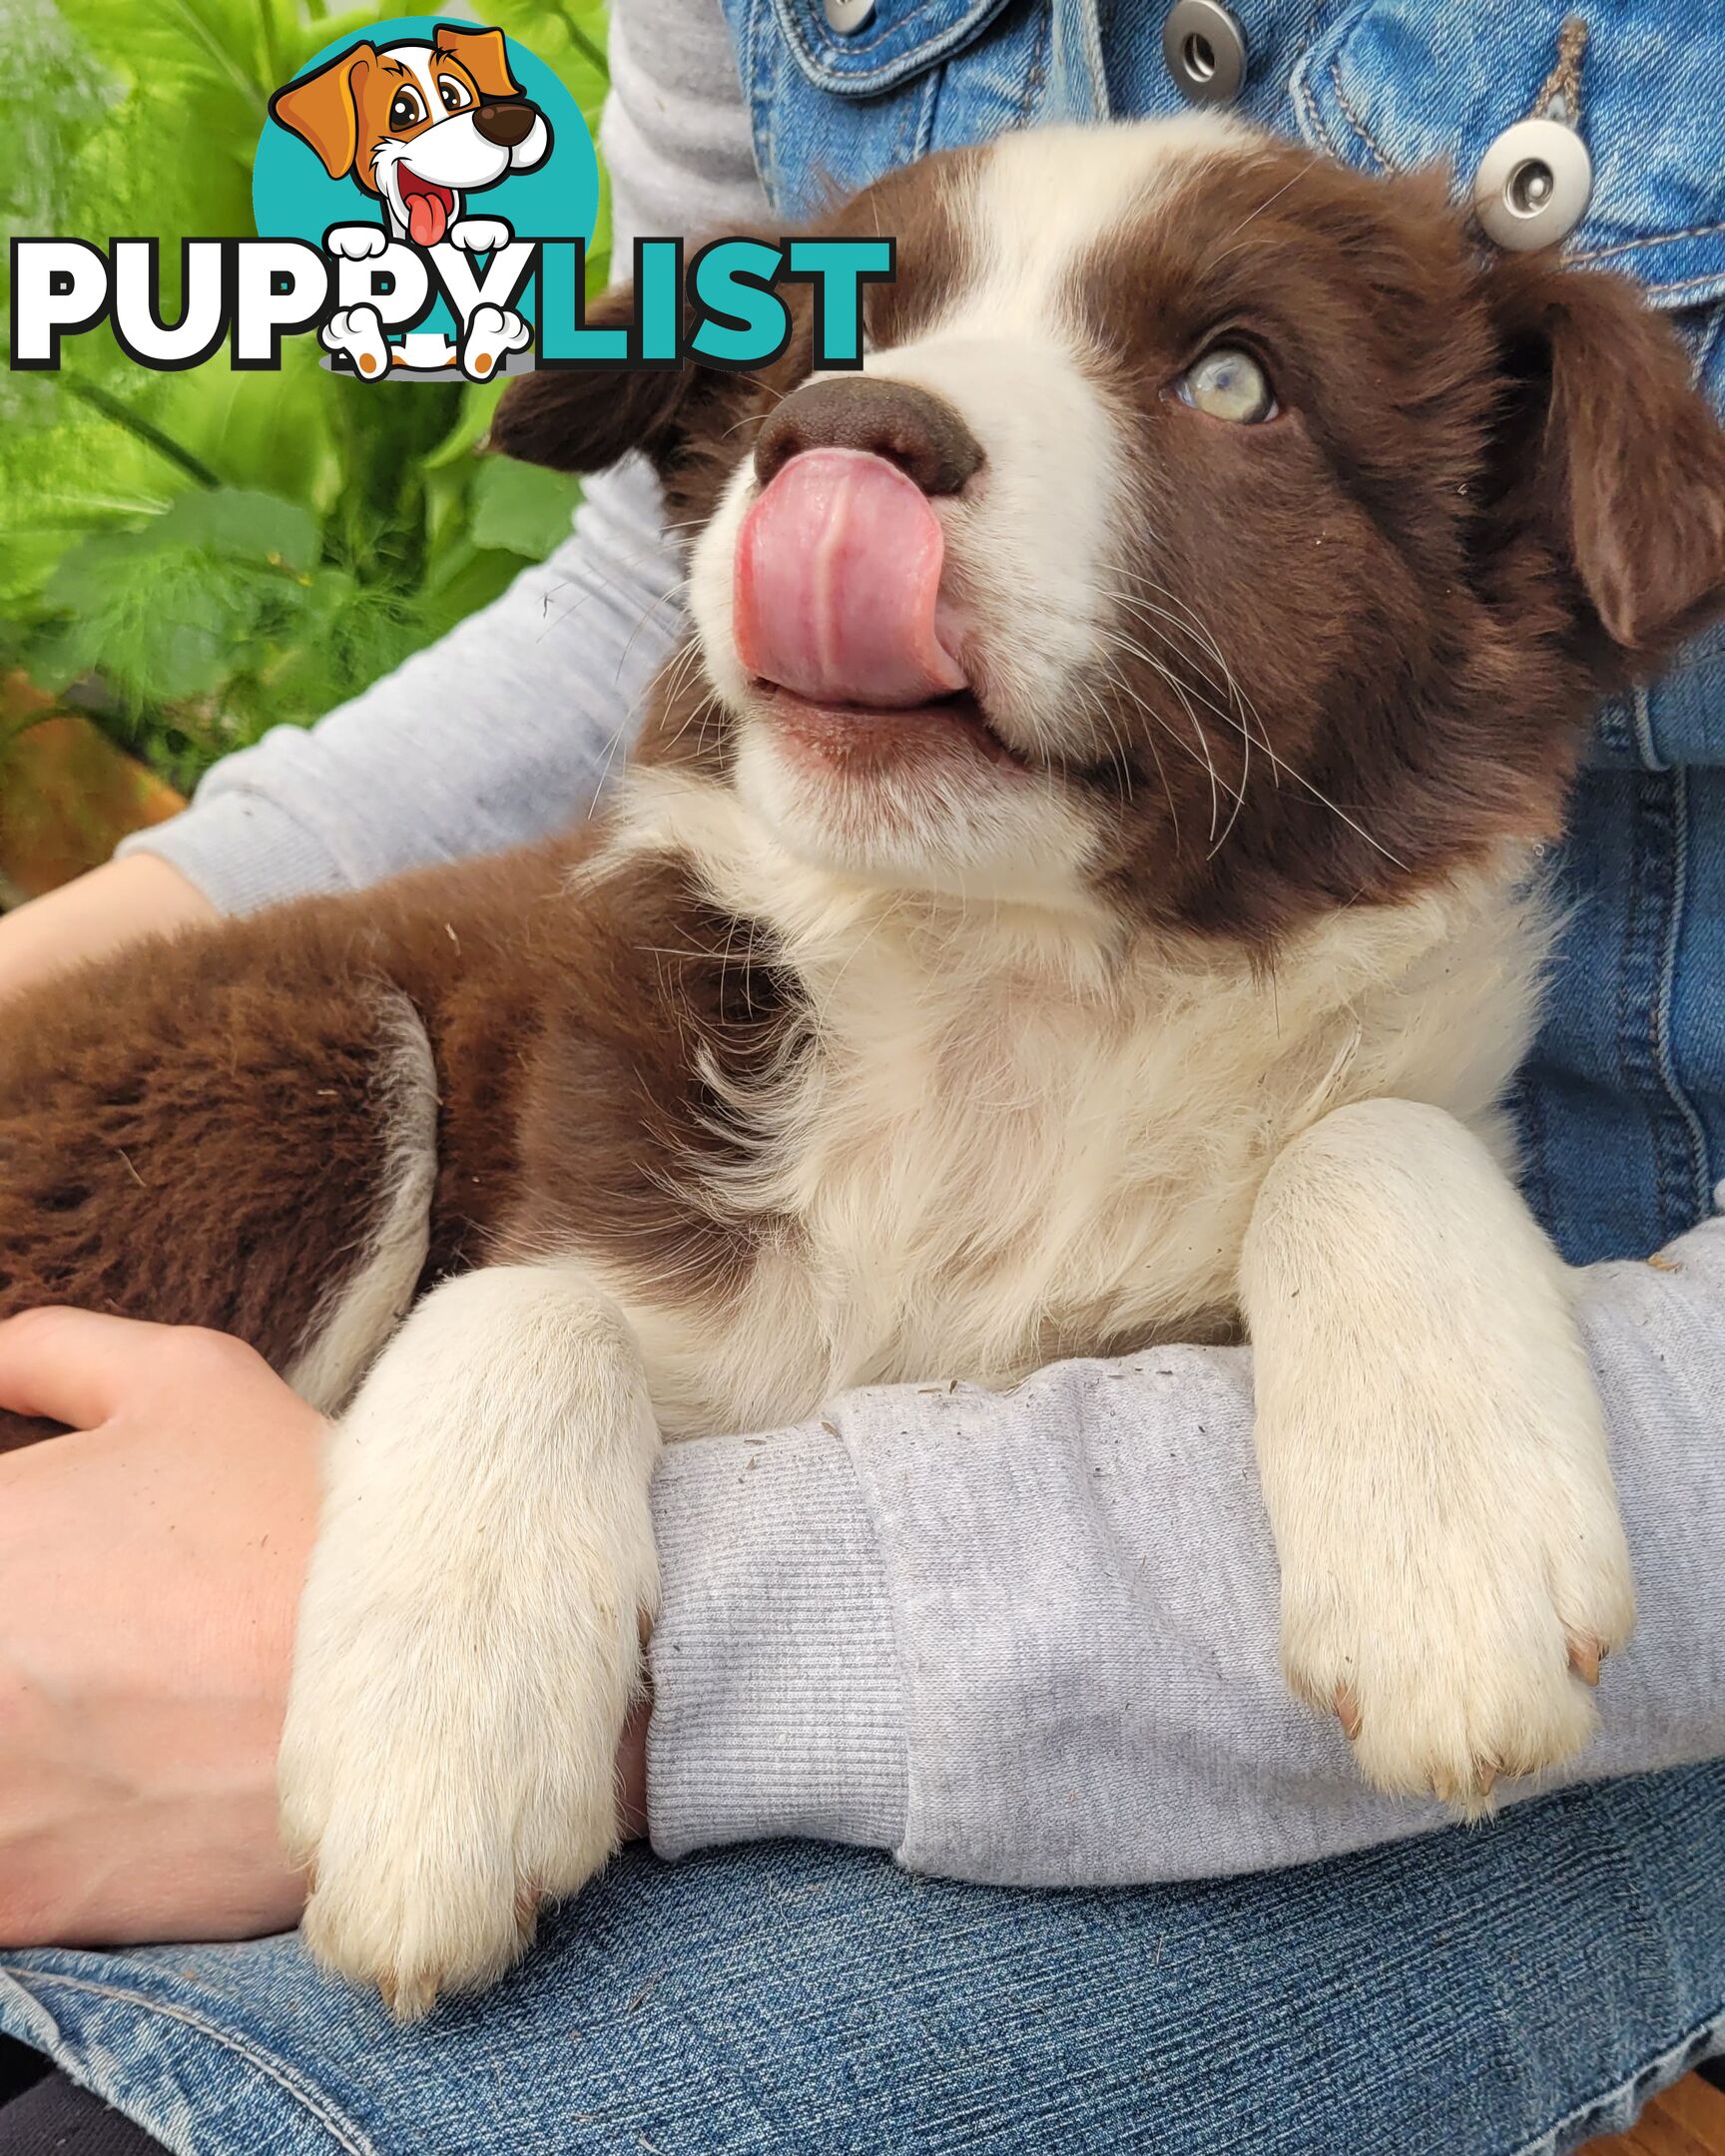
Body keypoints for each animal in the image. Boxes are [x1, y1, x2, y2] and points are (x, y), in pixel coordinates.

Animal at [3, 122, 1725, 2017]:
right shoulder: (593, 1145)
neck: (1009, 996)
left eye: (1232, 381)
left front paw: (1452, 1555)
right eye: (814, 340)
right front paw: (432, 1757)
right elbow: (519, 1306)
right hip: (308, 1061)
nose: (844, 428)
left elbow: (1370, 1137)